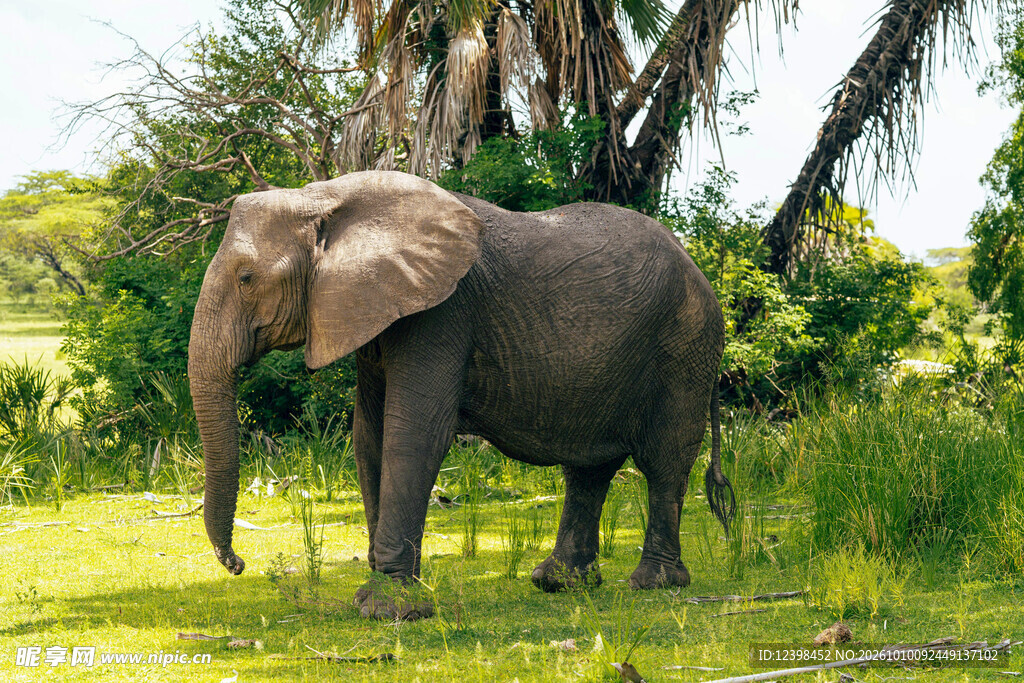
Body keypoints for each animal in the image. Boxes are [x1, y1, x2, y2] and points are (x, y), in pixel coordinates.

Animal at [188, 170, 735, 620]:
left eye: (246, 278)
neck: (325, 198)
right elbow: (370, 435)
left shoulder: (443, 313)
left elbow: (414, 434)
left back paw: (653, 584)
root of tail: (701, 273)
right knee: (589, 467)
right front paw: (381, 591)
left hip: (685, 345)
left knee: (664, 461)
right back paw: (559, 582)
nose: (237, 564)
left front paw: (390, 609)